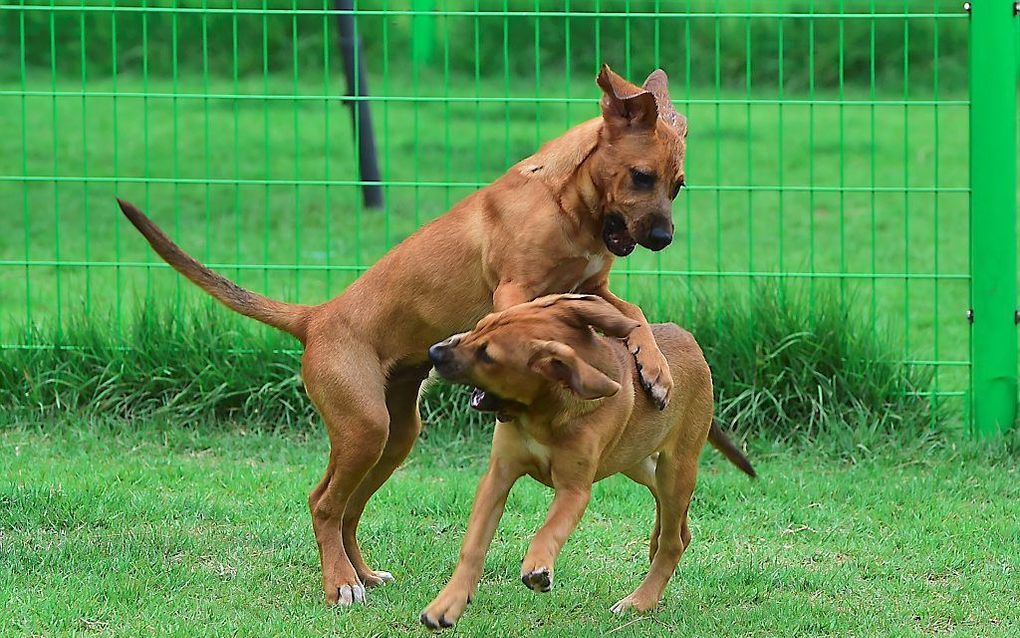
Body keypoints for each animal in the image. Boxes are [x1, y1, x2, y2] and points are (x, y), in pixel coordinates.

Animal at [115, 64, 689, 608]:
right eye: (641, 177)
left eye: (677, 186)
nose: (664, 239)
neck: (565, 199)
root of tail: (316, 318)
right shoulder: (515, 290)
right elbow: (546, 314)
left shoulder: (593, 287)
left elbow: (633, 313)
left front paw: (656, 372)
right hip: (365, 426)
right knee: (324, 503)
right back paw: (341, 585)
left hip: (394, 435)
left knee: (344, 507)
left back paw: (361, 575)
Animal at [418, 291, 754, 628]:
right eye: (480, 325)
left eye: (487, 356)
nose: (433, 352)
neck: (542, 411)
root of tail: (687, 338)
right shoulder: (497, 477)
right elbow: (473, 546)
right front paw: (446, 605)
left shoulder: (574, 490)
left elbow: (550, 529)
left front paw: (538, 567)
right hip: (636, 460)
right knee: (672, 519)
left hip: (676, 467)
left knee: (673, 541)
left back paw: (640, 600)